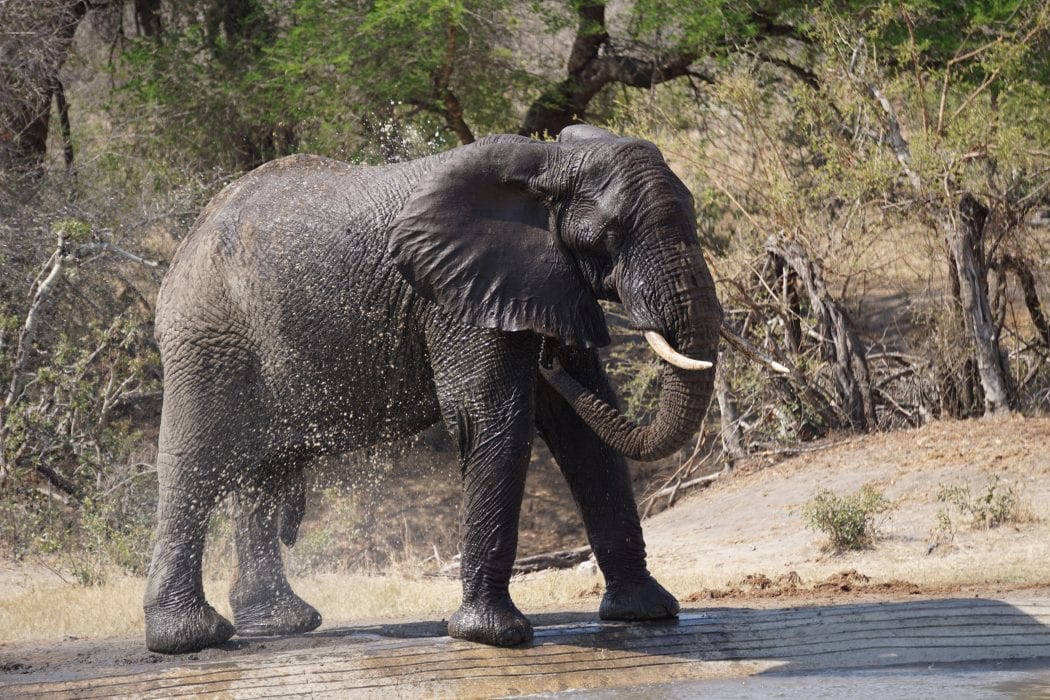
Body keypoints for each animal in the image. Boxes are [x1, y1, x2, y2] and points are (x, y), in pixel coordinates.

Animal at [143, 123, 722, 654]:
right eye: (609, 234)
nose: (549, 355)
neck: (547, 162)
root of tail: (192, 234)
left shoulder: (543, 281)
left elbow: (583, 428)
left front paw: (647, 614)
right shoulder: (456, 293)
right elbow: (490, 417)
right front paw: (493, 636)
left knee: (261, 472)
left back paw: (281, 624)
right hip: (208, 333)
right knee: (196, 461)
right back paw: (190, 639)